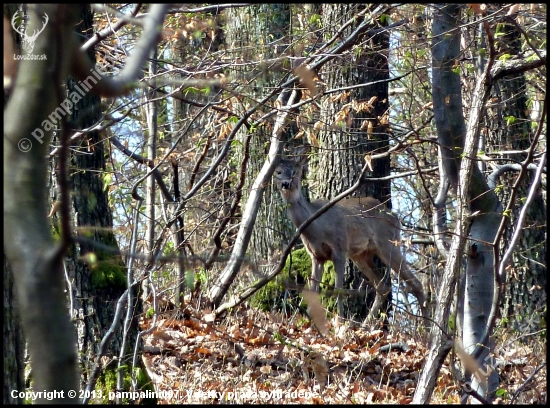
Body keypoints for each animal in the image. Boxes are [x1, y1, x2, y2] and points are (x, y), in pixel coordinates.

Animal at [274, 148, 426, 324]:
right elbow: (313, 289)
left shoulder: (339, 248)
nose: (286, 184)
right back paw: (366, 324)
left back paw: (428, 327)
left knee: (416, 283)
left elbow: (338, 289)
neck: (317, 228)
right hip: (361, 255)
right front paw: (310, 321)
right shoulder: (316, 255)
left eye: (295, 171)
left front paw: (339, 321)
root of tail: (395, 217)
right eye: (278, 172)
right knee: (383, 286)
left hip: (388, 243)